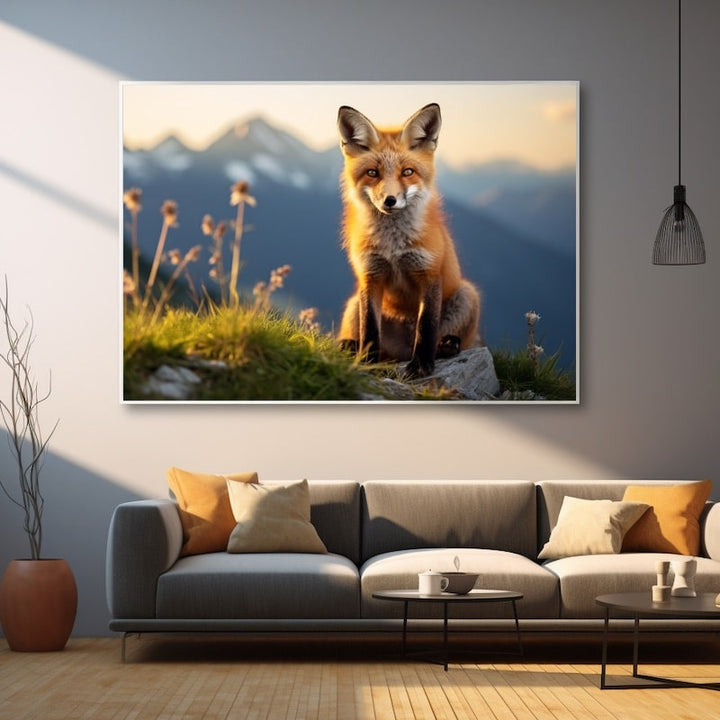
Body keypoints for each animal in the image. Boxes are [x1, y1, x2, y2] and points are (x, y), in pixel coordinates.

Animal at [336, 102, 481, 378]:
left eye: (408, 172)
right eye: (372, 173)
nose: (390, 200)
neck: (393, 247)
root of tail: (400, 352)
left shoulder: (429, 272)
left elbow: (426, 327)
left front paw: (421, 366)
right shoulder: (370, 275)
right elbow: (370, 329)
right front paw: (367, 363)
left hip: (467, 295)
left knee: (445, 337)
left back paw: (447, 346)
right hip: (352, 304)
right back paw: (351, 346)